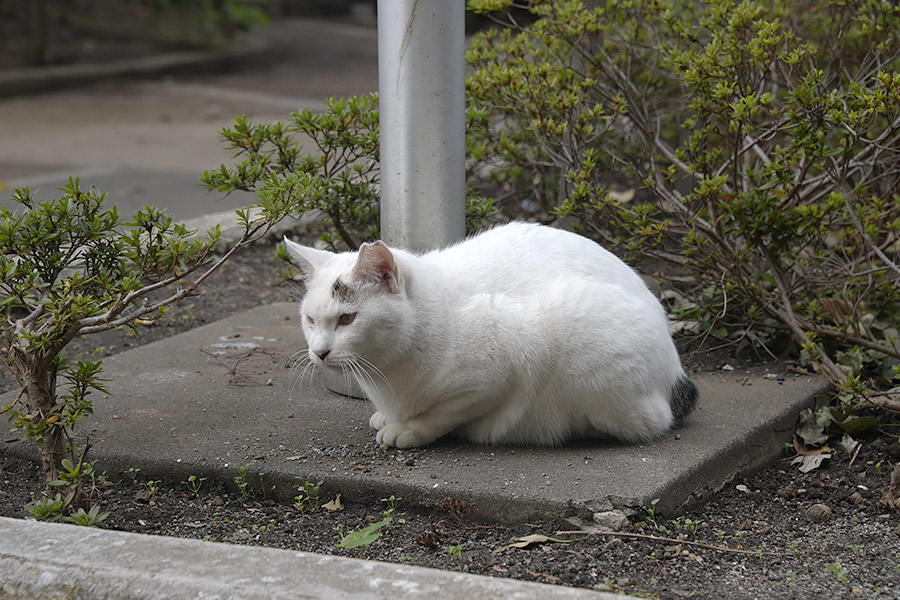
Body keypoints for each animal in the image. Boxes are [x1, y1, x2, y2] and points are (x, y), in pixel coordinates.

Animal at [286, 223, 696, 448]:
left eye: (347, 319)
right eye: (310, 320)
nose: (319, 353)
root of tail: (677, 370)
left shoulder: (494, 373)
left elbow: (444, 413)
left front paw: (410, 429)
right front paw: (389, 419)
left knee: (643, 423)